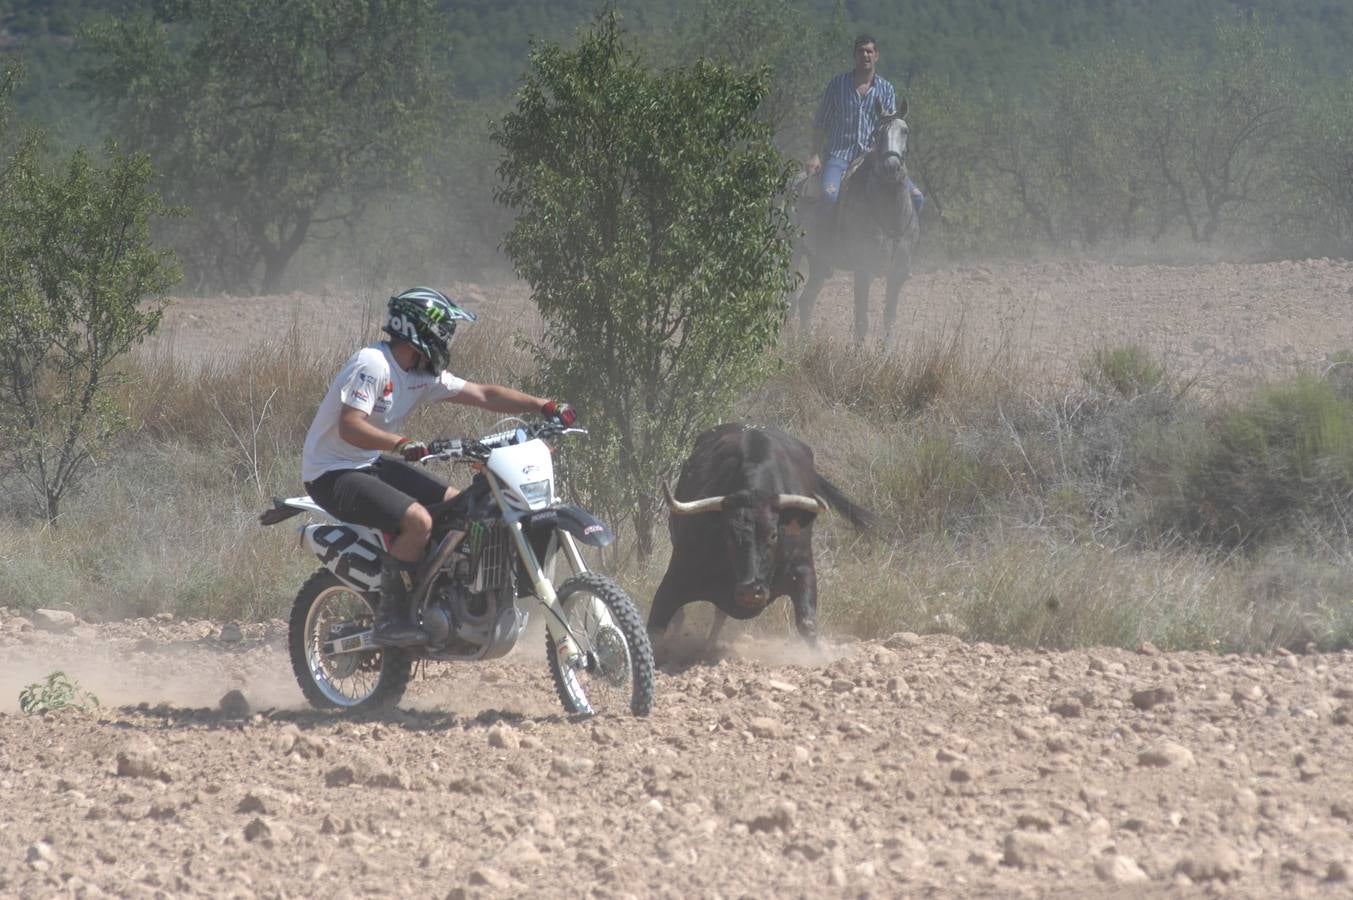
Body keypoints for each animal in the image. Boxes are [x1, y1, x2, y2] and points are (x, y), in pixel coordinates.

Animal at [646, 422, 876, 646]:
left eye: (773, 535)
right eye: (728, 536)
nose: (751, 590)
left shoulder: (803, 569)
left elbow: (808, 625)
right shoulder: (677, 575)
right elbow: (655, 630)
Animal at [790, 97, 920, 346]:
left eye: (905, 131)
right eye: (877, 133)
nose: (891, 167)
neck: (889, 217)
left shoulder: (897, 275)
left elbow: (889, 319)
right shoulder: (863, 271)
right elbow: (862, 321)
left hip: (818, 263)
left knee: (805, 302)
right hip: (792, 255)